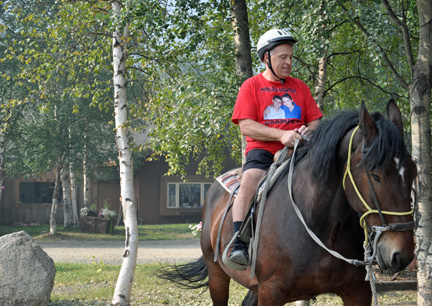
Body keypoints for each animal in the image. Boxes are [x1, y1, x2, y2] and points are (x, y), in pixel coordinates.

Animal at [160, 99, 416, 304]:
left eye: (413, 173)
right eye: (376, 176)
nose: (401, 254)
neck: (321, 226)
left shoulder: (357, 292)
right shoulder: (271, 292)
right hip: (217, 275)